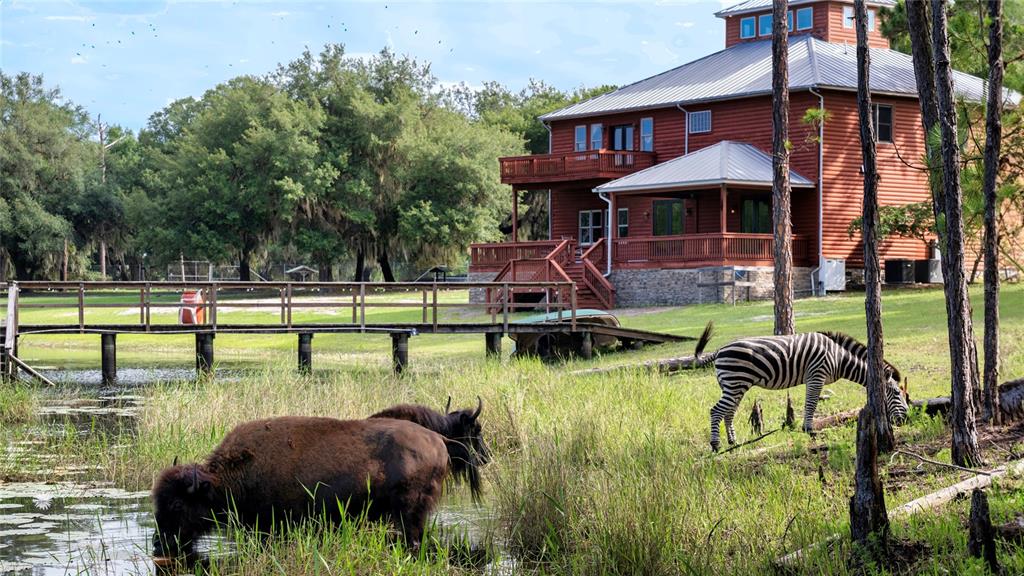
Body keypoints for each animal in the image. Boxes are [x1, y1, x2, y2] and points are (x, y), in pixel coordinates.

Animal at [692, 319, 909, 450]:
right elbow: (811, 404)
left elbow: (810, 403)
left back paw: (732, 441)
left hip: (734, 386)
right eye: (897, 393)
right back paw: (716, 445)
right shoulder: (816, 375)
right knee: (716, 411)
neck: (839, 357)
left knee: (728, 412)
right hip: (735, 383)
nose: (906, 419)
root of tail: (719, 350)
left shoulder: (814, 378)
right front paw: (809, 430)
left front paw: (807, 428)